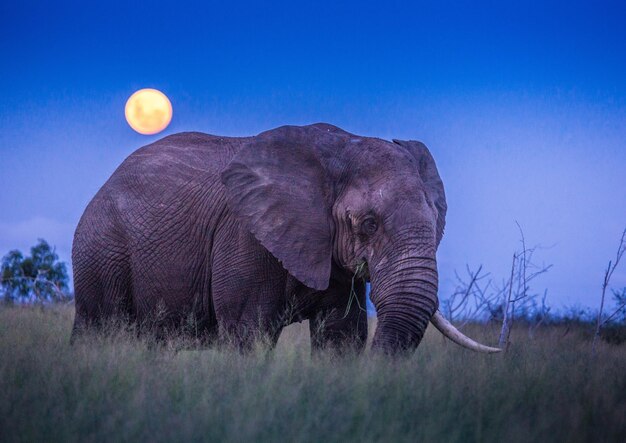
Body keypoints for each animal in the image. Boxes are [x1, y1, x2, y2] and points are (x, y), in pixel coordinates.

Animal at [73, 123, 500, 356]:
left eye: (436, 222)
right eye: (369, 224)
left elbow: (341, 337)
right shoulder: (245, 236)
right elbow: (248, 334)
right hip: (101, 246)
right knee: (100, 326)